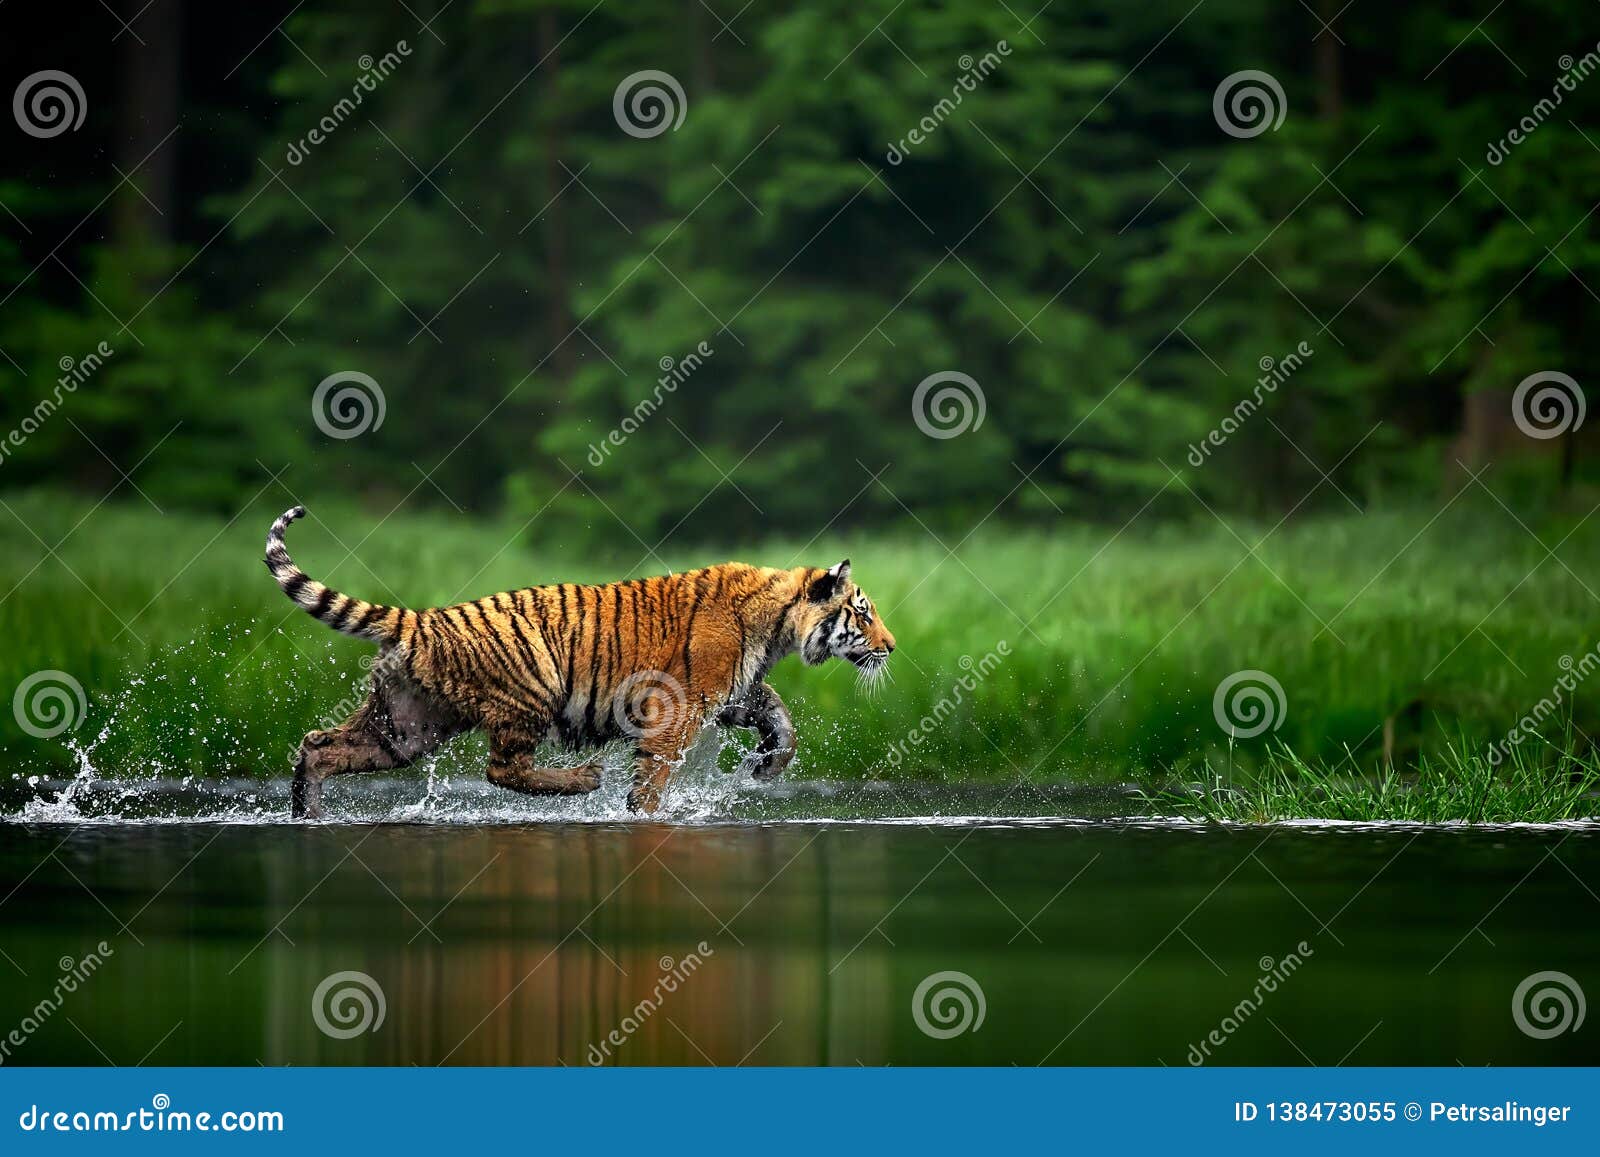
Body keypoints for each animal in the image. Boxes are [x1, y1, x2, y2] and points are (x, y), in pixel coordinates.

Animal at [256, 508, 896, 825]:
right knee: (502, 769)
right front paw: (641, 816)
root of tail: (421, 619)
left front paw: (766, 766)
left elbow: (782, 718)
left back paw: (307, 815)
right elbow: (654, 778)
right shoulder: (679, 708)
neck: (778, 623)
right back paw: (584, 779)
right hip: (531, 687)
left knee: (319, 746)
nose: (890, 646)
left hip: (407, 728)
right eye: (862, 614)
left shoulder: (733, 692)